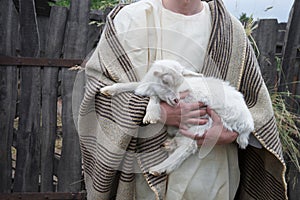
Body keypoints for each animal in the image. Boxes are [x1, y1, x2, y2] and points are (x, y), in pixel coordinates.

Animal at [100, 59, 253, 175]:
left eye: (179, 84)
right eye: (165, 81)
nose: (176, 100)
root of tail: (247, 125)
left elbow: (154, 97)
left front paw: (151, 114)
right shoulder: (146, 86)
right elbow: (133, 85)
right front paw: (109, 90)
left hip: (205, 122)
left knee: (188, 147)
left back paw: (158, 168)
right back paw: (169, 145)